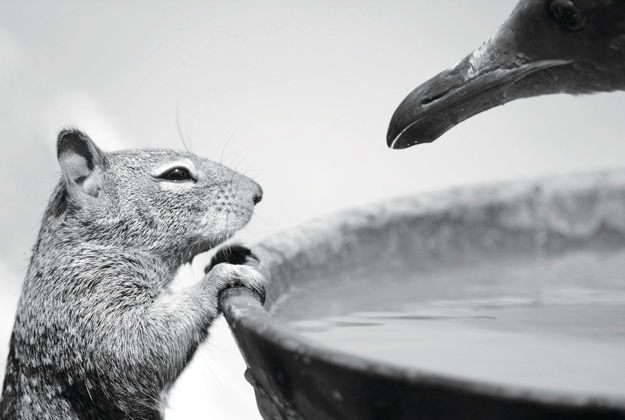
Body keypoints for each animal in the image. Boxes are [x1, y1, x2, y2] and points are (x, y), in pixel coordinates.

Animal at [0, 130, 266, 418]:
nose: (257, 192)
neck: (97, 245)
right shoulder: (87, 301)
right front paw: (221, 275)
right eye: (177, 174)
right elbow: (142, 345)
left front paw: (228, 256)